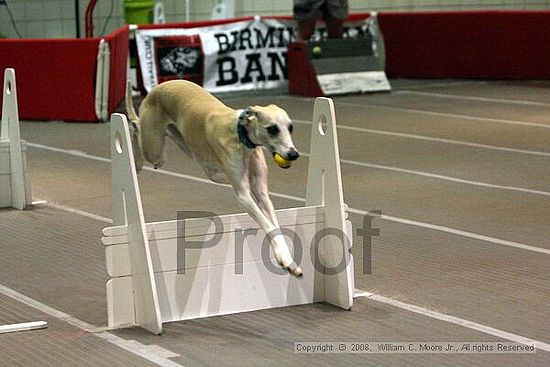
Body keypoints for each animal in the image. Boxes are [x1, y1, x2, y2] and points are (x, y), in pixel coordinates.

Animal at [128, 80, 304, 276]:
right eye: (272, 129)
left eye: (290, 127)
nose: (293, 154)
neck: (240, 135)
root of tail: (159, 86)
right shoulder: (243, 196)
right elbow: (267, 224)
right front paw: (285, 258)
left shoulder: (261, 192)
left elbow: (273, 224)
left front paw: (288, 260)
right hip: (154, 150)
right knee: (136, 127)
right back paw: (136, 159)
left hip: (180, 141)